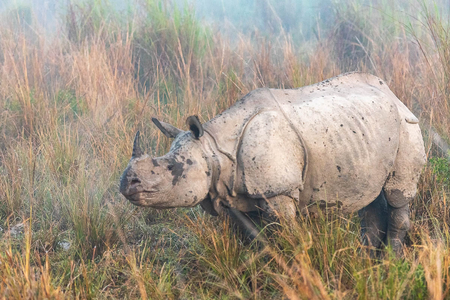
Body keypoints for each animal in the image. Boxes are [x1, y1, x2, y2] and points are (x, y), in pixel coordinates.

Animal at [119, 73, 426, 253]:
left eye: (172, 168)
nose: (126, 183)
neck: (214, 147)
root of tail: (393, 94)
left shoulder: (278, 190)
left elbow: (287, 235)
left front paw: (293, 267)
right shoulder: (233, 192)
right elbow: (257, 239)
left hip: (406, 125)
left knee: (397, 195)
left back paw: (390, 261)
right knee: (370, 196)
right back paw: (366, 260)